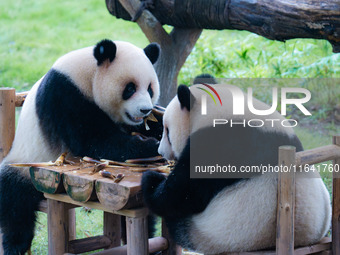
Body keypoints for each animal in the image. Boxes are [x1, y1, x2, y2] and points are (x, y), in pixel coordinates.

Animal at [0, 38, 163, 254]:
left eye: (150, 88)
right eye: (130, 88)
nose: (145, 110)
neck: (88, 75)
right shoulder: (65, 95)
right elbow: (92, 140)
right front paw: (150, 146)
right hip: (25, 164)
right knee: (13, 200)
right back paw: (15, 244)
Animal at [142, 83, 330, 253]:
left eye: (167, 131)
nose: (161, 152)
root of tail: (303, 240)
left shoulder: (221, 142)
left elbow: (185, 192)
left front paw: (151, 181)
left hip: (222, 234)